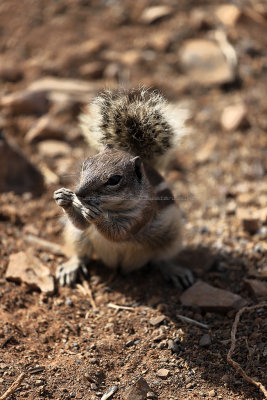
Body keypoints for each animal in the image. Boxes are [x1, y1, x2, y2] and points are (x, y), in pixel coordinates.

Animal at [54, 88, 194, 288]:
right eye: (85, 164)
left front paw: (96, 216)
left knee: (161, 259)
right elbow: (81, 224)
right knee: (81, 254)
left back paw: (175, 271)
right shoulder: (81, 224)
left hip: (171, 237)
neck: (111, 209)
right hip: (76, 237)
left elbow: (118, 234)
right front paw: (63, 198)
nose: (79, 193)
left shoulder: (142, 215)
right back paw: (71, 267)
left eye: (114, 180)